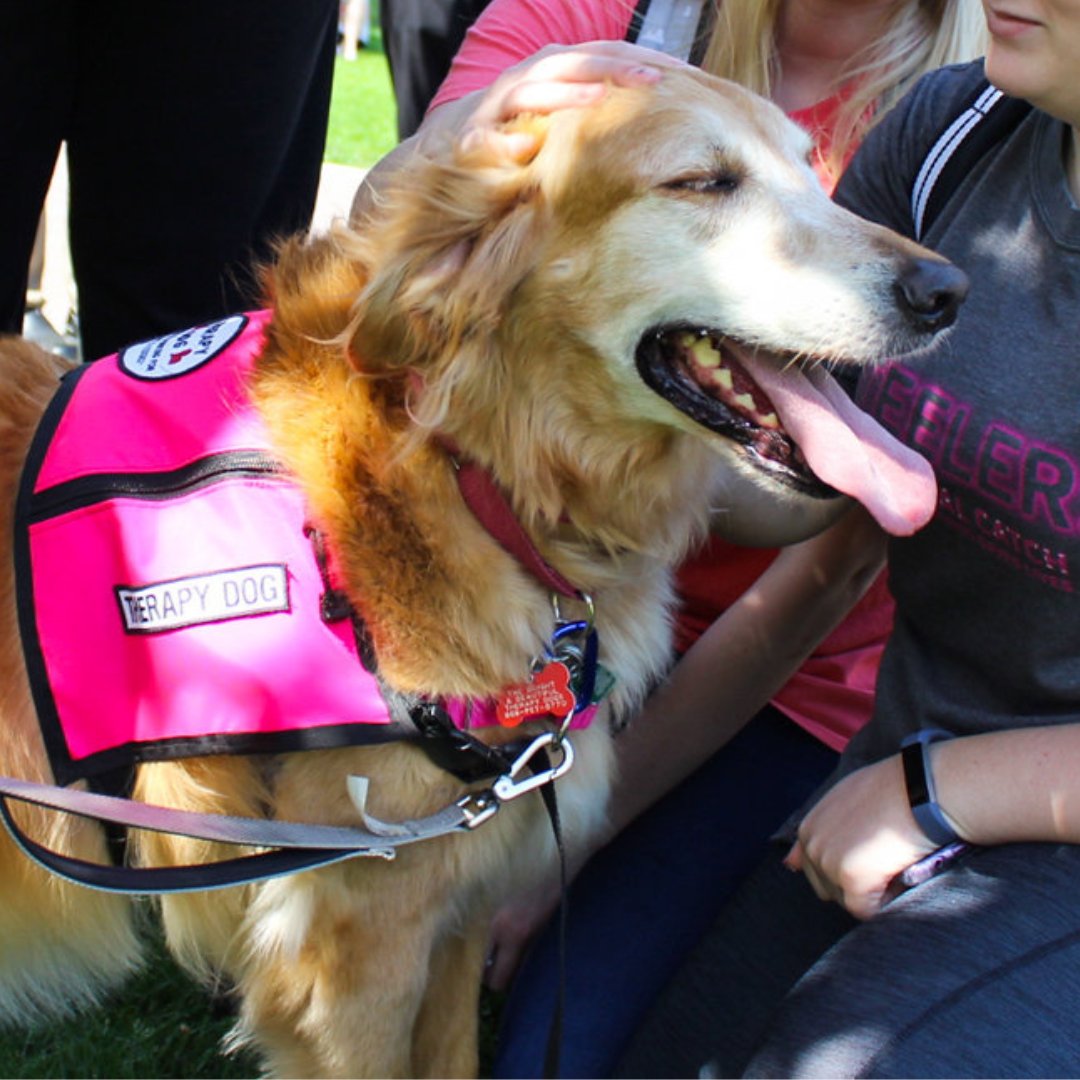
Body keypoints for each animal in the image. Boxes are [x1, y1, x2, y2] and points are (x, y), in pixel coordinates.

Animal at [0, 65, 963, 1071]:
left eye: (814, 171)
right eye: (702, 181)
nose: (948, 288)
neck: (478, 480)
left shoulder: (461, 908)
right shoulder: (352, 951)